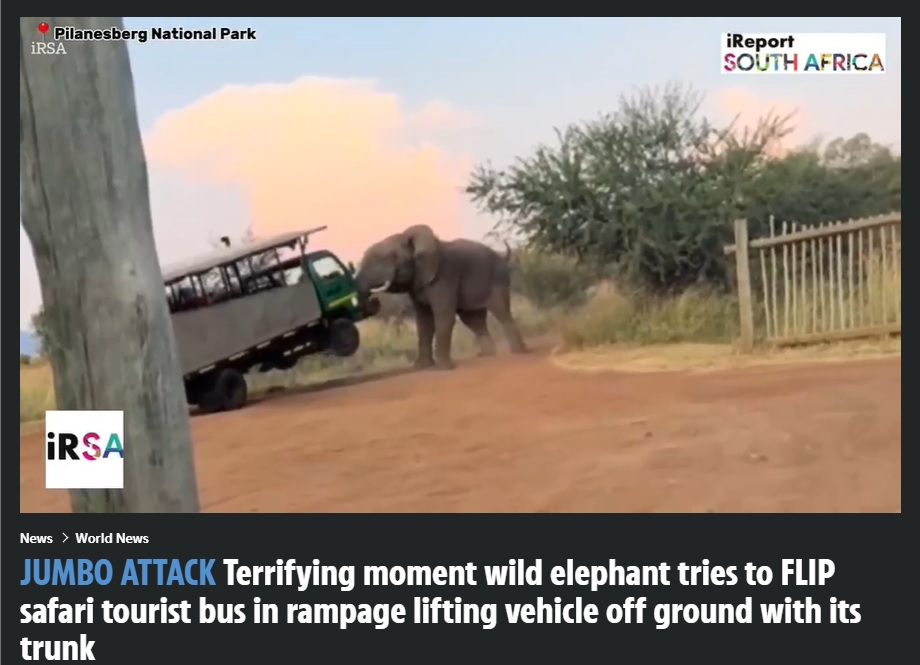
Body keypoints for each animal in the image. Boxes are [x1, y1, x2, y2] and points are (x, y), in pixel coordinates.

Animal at [356, 223, 528, 368]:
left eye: (393, 256)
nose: (375, 299)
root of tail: (502, 256)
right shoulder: (418, 282)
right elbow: (424, 320)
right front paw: (422, 367)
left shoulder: (445, 275)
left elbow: (443, 315)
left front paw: (444, 367)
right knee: (473, 320)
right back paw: (486, 354)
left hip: (497, 277)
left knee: (501, 312)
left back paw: (518, 352)